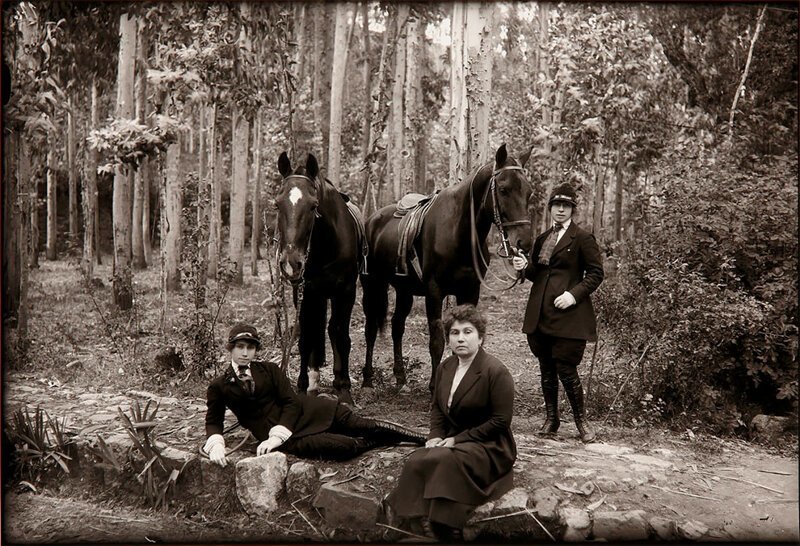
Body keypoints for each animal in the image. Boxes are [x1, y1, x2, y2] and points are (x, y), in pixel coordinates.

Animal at [276, 150, 362, 404]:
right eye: (277, 204)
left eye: (313, 206)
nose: (291, 262)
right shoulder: (305, 291)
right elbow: (306, 336)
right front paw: (302, 386)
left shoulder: (346, 292)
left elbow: (340, 334)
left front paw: (344, 388)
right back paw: (313, 381)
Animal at [362, 143, 532, 392]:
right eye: (503, 189)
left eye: (529, 192)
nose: (524, 242)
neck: (459, 233)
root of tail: (371, 220)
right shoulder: (435, 291)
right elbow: (437, 340)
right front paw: (435, 385)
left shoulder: (470, 290)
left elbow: (462, 336)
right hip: (372, 285)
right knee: (371, 329)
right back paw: (367, 379)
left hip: (404, 290)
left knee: (397, 326)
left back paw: (401, 377)